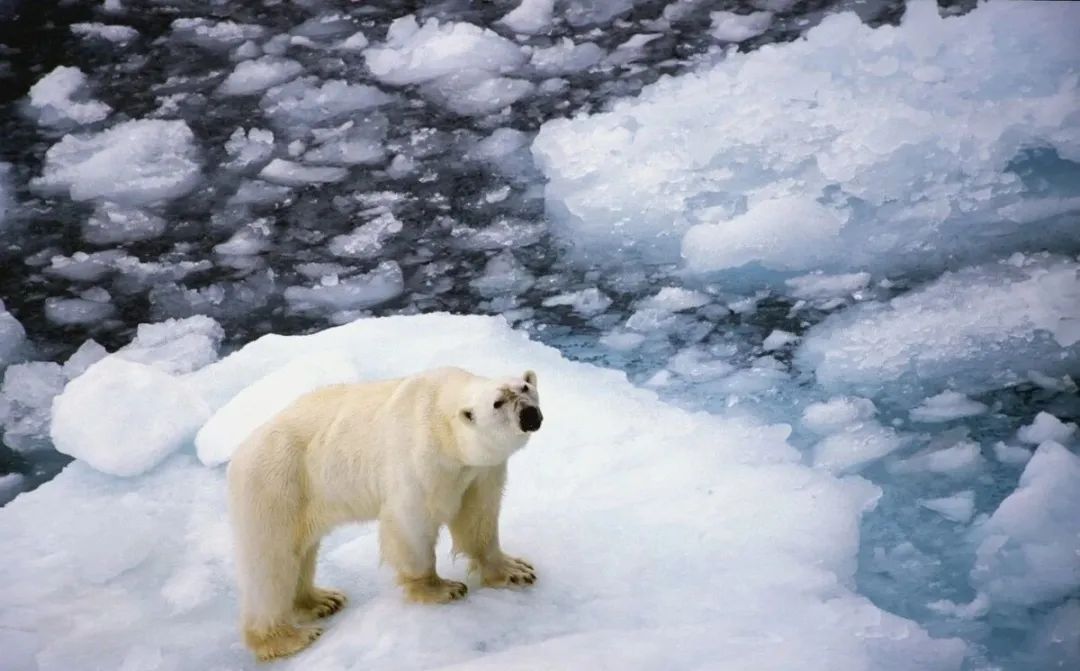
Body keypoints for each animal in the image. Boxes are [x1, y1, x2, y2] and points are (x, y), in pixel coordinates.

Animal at [224, 367, 544, 661]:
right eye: (497, 403)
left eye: (525, 387)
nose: (530, 414)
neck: (442, 418)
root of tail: (241, 452)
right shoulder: (421, 457)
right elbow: (411, 520)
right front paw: (441, 588)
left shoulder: (480, 470)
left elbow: (479, 516)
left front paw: (515, 570)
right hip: (277, 484)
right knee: (272, 564)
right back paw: (287, 637)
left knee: (301, 554)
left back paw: (322, 600)